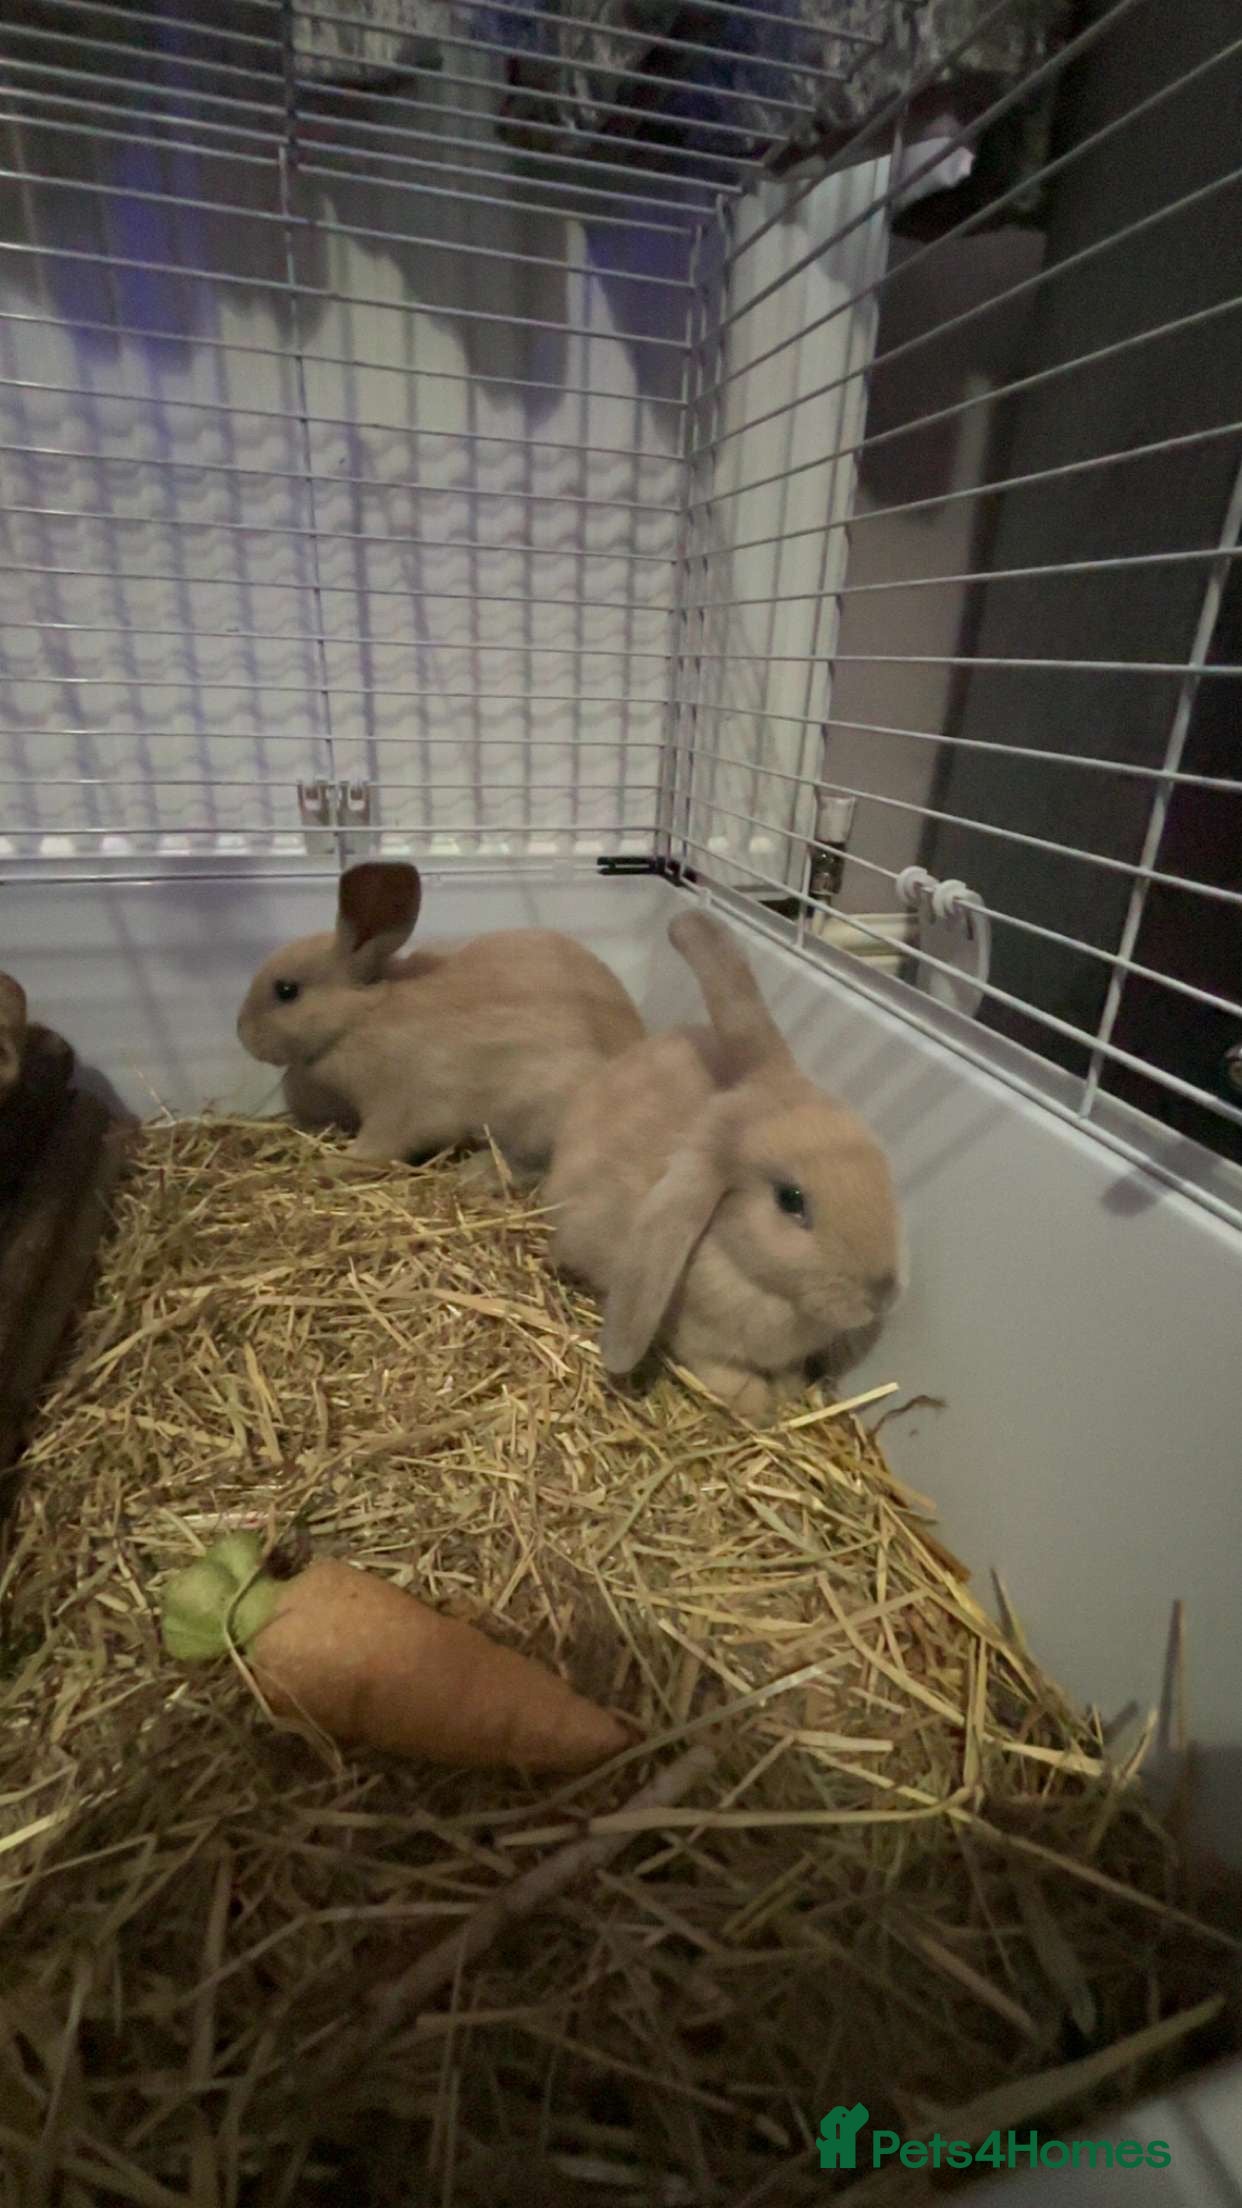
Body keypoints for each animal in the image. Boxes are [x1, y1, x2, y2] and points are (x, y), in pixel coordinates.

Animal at [236, 860, 645, 1171]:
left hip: (541, 1110)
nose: (242, 1033)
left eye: (286, 990)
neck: (359, 1020)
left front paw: (330, 1165)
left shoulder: (394, 1108)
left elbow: (378, 1149)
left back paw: (475, 1174)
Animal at [544, 908, 903, 1423]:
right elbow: (731, 1379)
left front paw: (789, 1389)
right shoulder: (701, 1343)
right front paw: (761, 1406)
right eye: (790, 1200)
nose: (883, 1294)